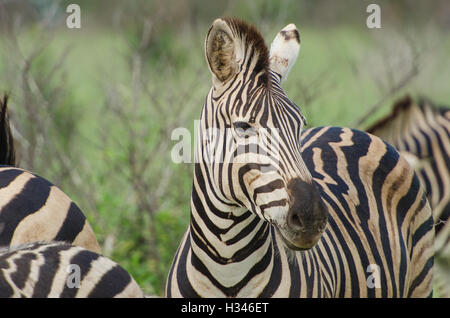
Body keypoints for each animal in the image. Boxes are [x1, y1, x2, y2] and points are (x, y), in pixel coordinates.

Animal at [163, 18, 434, 298]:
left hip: (421, 280)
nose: (311, 219)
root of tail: (352, 130)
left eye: (299, 125)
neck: (228, 267)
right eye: (242, 127)